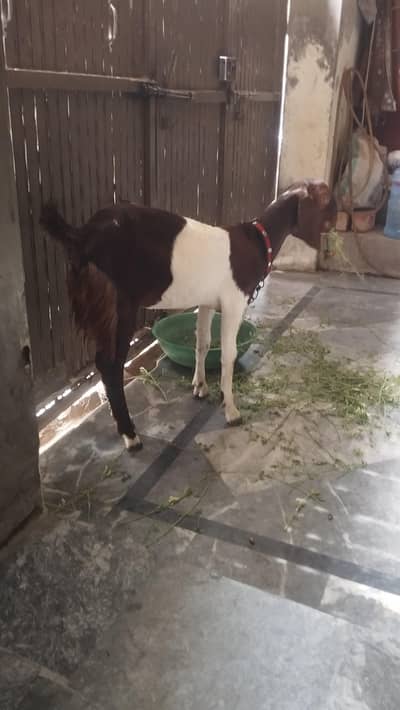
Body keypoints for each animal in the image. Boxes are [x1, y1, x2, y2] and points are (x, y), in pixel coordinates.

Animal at [40, 180, 336, 451]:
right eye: (328, 203)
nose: (335, 227)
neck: (258, 240)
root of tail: (82, 235)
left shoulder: (206, 303)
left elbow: (202, 343)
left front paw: (200, 386)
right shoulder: (233, 302)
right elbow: (228, 354)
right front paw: (231, 410)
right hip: (119, 305)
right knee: (111, 365)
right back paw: (130, 435)